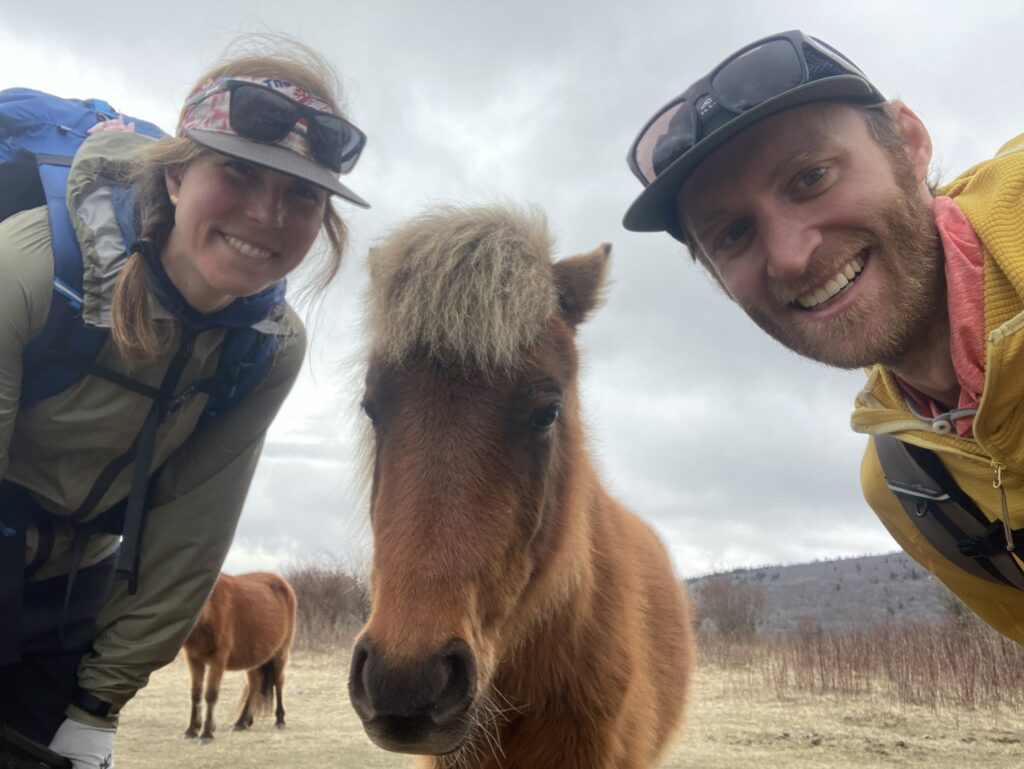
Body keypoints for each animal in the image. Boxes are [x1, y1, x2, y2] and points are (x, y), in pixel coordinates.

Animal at [182, 571, 297, 741]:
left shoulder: (219, 657)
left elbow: (211, 694)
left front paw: (207, 734)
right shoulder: (193, 658)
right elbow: (195, 693)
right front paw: (192, 730)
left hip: (279, 653)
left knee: (278, 681)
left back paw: (280, 720)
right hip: (254, 658)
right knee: (255, 684)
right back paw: (242, 722)